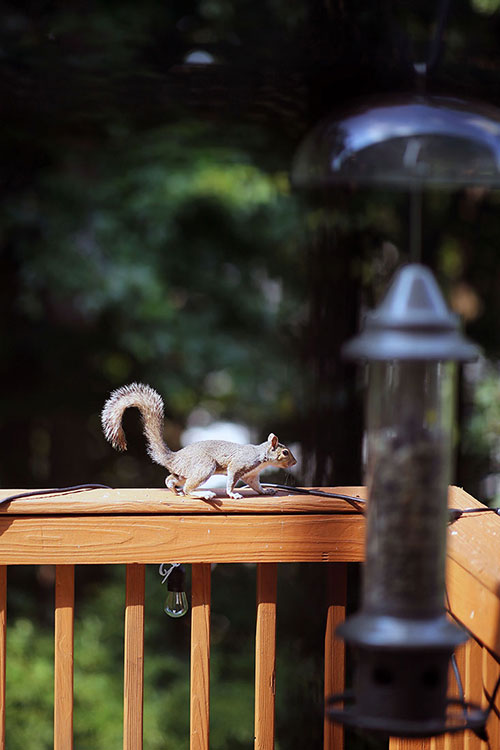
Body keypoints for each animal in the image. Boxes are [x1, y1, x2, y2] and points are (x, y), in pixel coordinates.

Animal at [101, 384, 296, 502]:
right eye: (285, 452)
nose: (295, 462)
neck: (261, 456)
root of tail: (175, 458)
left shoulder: (252, 475)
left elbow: (257, 486)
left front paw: (266, 491)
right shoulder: (240, 464)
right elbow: (231, 480)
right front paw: (233, 494)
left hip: (186, 472)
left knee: (170, 479)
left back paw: (175, 490)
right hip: (205, 466)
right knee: (188, 488)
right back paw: (204, 493)